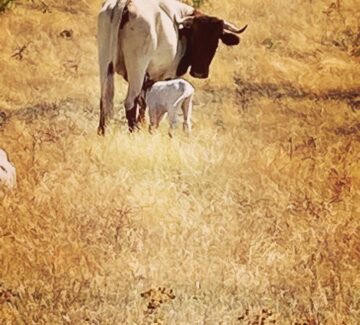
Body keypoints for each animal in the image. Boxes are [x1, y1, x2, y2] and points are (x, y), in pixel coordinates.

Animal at [97, 0, 246, 134]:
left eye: (216, 41)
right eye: (194, 36)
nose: (199, 73)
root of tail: (125, 4)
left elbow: (143, 102)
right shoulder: (166, 75)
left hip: (105, 64)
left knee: (105, 99)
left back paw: (102, 132)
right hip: (137, 69)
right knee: (130, 102)